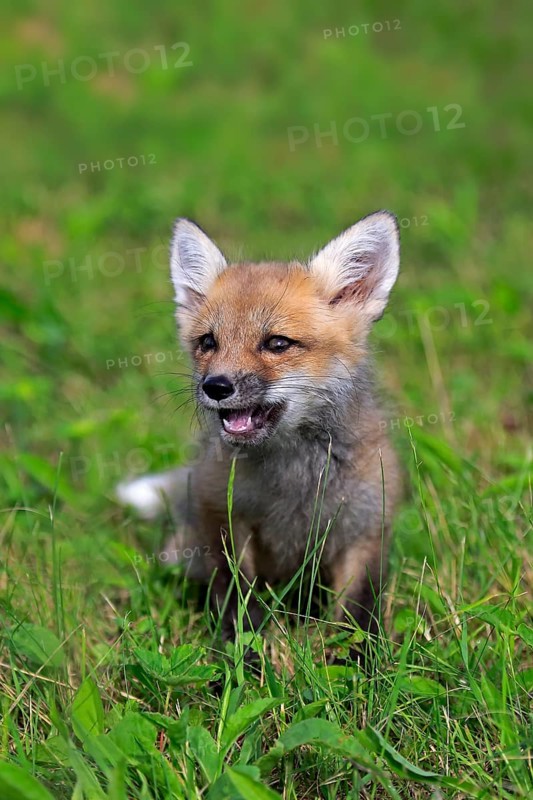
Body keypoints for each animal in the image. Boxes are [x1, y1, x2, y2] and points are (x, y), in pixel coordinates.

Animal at [117, 210, 401, 645]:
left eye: (277, 343)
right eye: (208, 342)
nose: (215, 386)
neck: (293, 479)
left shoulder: (365, 528)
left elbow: (358, 614)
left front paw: (360, 658)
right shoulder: (222, 518)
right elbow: (236, 602)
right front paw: (243, 657)